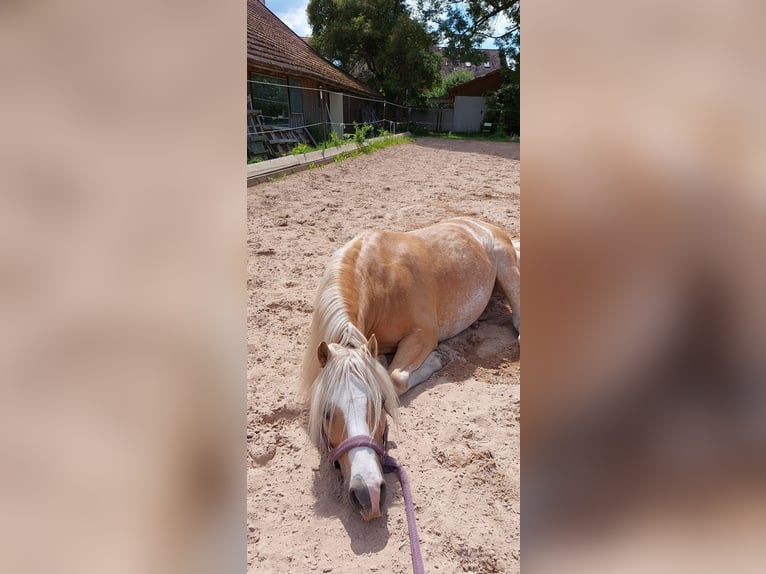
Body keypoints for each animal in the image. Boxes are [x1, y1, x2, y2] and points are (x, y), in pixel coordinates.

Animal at [302, 216, 520, 520]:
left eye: (381, 404)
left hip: (509, 271)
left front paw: (437, 359)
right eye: (326, 413)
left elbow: (395, 377)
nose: (368, 494)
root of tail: (477, 224)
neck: (379, 281)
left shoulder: (424, 334)